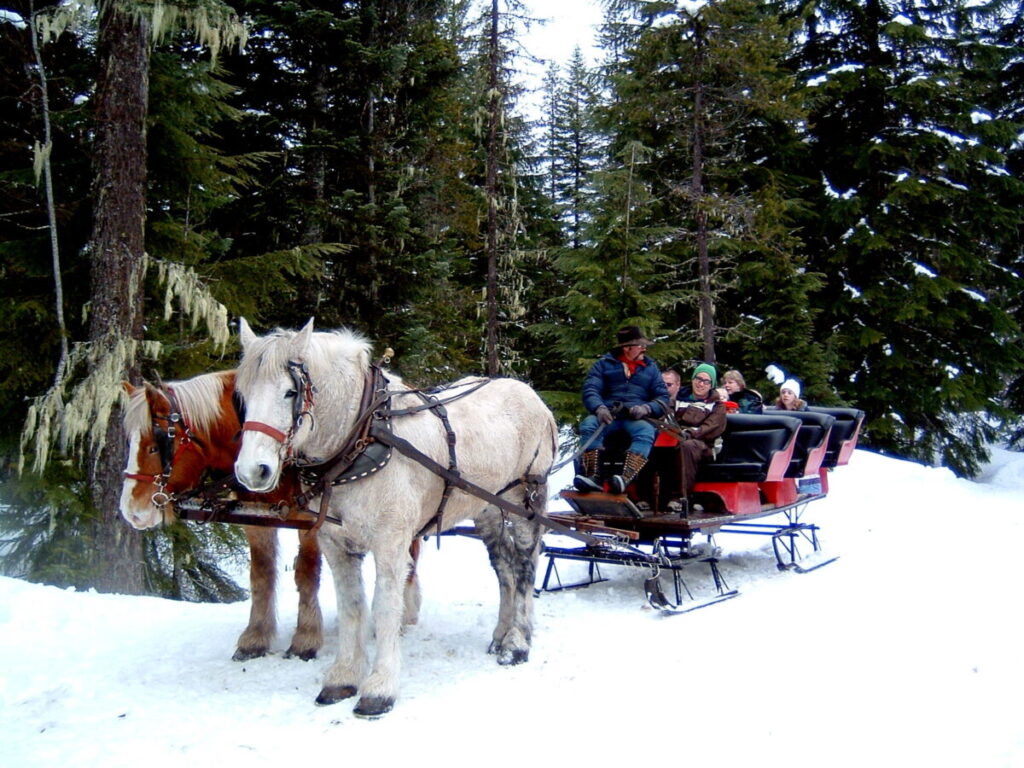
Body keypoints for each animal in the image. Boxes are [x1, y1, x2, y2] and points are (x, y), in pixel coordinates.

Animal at [118, 370, 419, 663]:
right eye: (129, 442)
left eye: (154, 447)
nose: (132, 511)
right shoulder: (257, 521)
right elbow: (261, 574)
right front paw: (255, 638)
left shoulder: (311, 521)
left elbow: (306, 572)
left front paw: (305, 639)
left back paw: (406, 612)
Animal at [234, 317, 561, 716]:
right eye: (243, 396)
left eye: (289, 392)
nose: (253, 471)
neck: (361, 439)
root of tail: (531, 395)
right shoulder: (336, 545)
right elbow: (352, 608)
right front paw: (343, 678)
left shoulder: (391, 545)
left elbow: (385, 608)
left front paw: (380, 688)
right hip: (488, 508)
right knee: (505, 569)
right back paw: (501, 634)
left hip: (526, 499)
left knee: (527, 566)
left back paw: (518, 641)